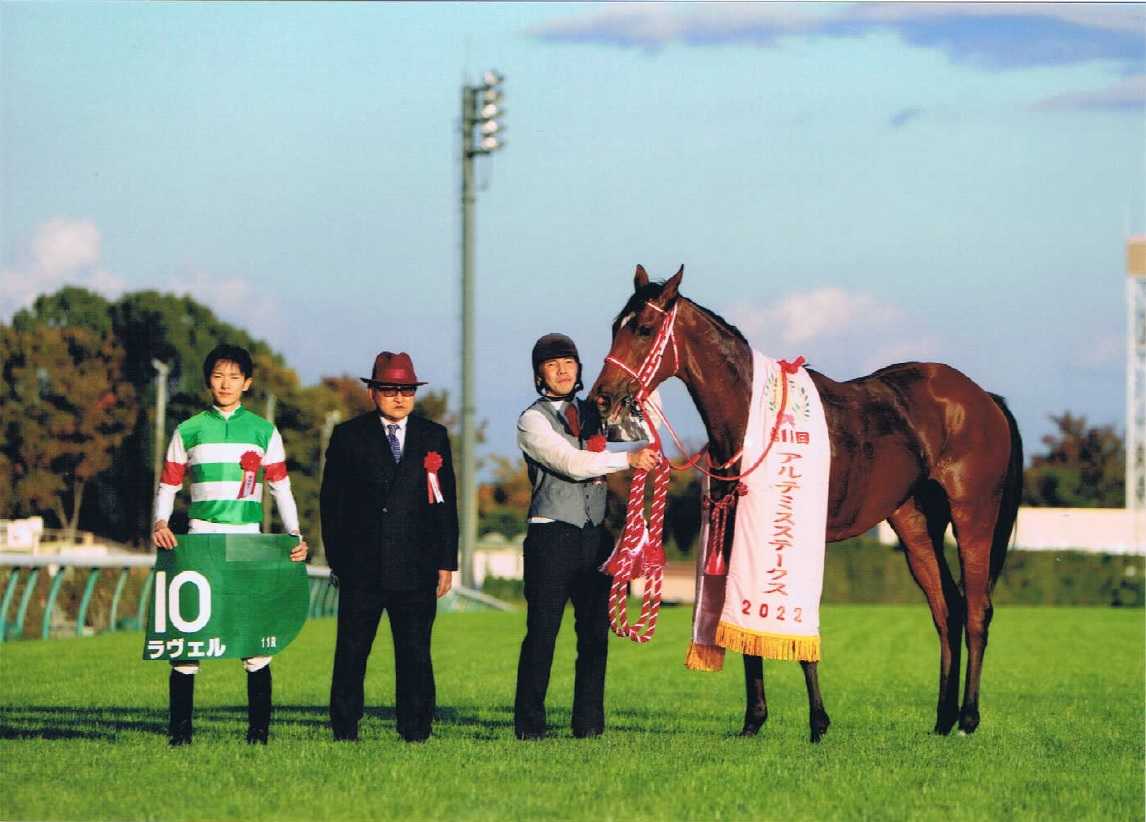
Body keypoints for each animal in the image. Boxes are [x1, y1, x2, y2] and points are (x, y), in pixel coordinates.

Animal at [588, 265, 1023, 742]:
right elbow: (746, 629)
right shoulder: (740, 532)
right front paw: (754, 720)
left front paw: (817, 721)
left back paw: (967, 718)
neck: (755, 421)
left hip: (973, 516)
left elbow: (794, 623)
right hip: (916, 524)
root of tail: (984, 399)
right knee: (947, 610)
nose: (601, 398)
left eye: (645, 329)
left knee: (977, 610)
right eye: (614, 326)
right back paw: (943, 718)